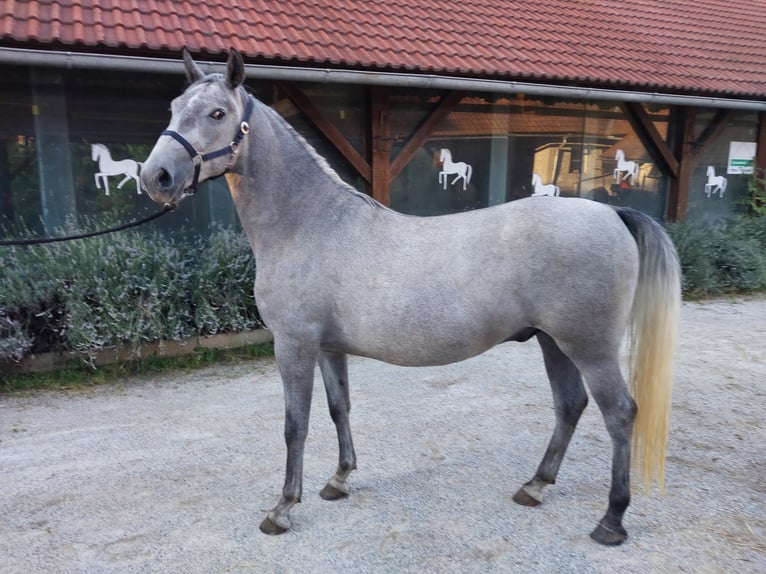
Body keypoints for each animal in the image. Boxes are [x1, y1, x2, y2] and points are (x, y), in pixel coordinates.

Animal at [141, 50, 680, 548]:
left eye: (217, 113)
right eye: (173, 107)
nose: (155, 177)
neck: (309, 223)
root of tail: (612, 213)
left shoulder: (293, 345)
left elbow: (296, 424)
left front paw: (282, 509)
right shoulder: (328, 348)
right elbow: (340, 408)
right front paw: (339, 480)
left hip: (589, 346)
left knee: (619, 413)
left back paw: (611, 520)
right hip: (554, 342)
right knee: (569, 405)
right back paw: (535, 486)